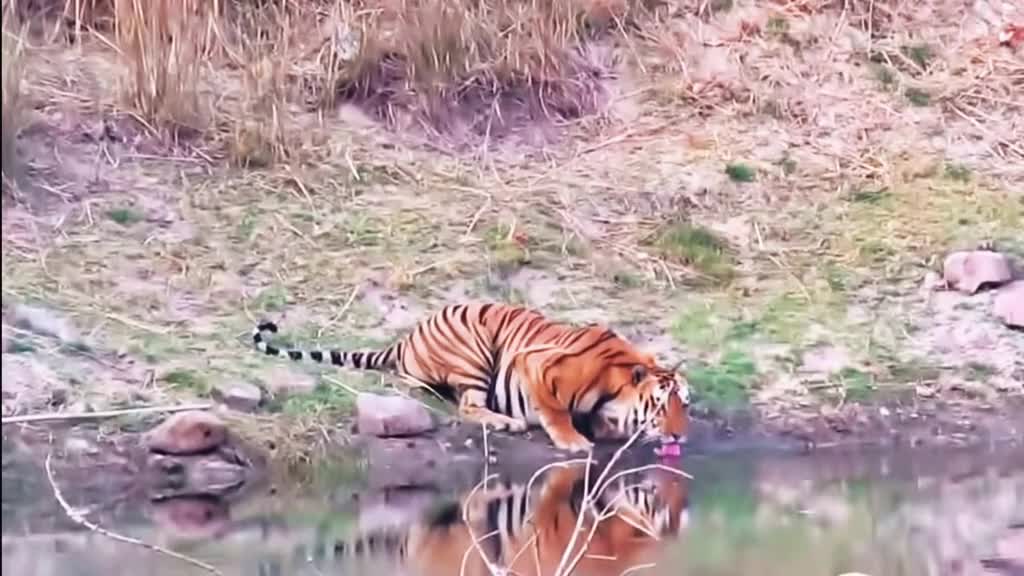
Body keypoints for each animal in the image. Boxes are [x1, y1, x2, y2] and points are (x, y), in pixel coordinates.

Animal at [251, 301, 692, 453]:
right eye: (659, 406)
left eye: (684, 406)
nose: (679, 436)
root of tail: (406, 338)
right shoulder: (537, 365)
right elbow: (555, 411)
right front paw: (573, 442)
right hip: (474, 349)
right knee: (464, 403)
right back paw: (507, 421)